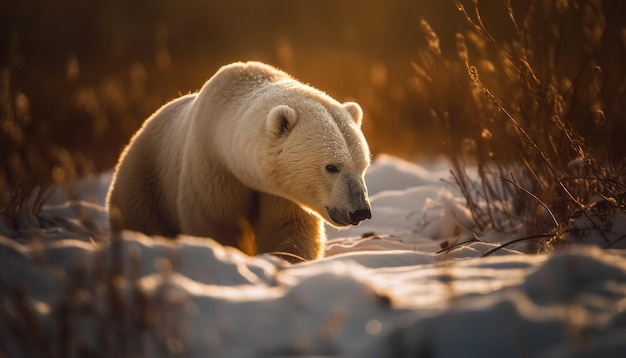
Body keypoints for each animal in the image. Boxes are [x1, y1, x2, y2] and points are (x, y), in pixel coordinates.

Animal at [106, 61, 370, 262]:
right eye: (332, 166)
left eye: (362, 166)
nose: (360, 211)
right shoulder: (212, 168)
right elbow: (217, 225)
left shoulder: (280, 191)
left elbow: (288, 228)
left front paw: (287, 259)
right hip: (146, 181)